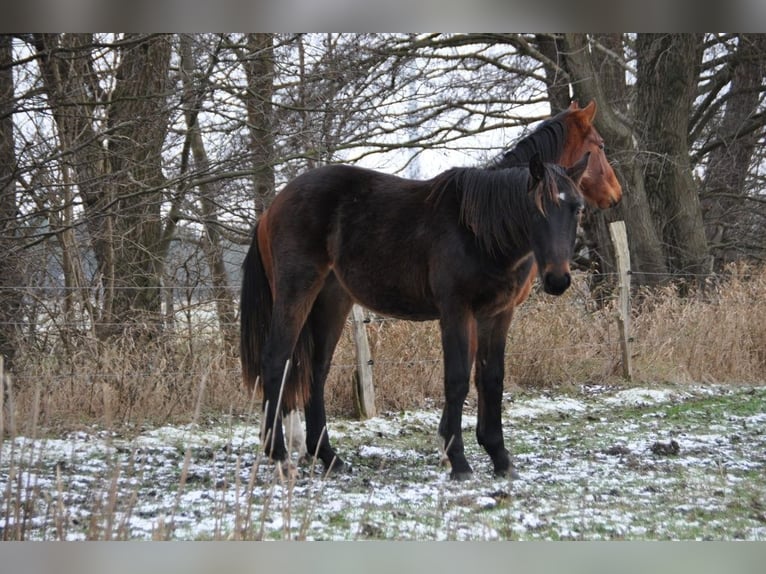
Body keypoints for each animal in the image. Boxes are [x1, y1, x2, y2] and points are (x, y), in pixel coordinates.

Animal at [243, 154, 592, 482]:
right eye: (536, 209)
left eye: (577, 208)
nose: (557, 279)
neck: (479, 232)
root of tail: (271, 210)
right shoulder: (456, 311)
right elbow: (457, 380)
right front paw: (459, 462)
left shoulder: (498, 314)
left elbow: (491, 379)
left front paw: (500, 458)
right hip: (296, 291)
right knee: (276, 361)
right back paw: (279, 456)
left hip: (332, 301)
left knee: (317, 371)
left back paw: (329, 457)